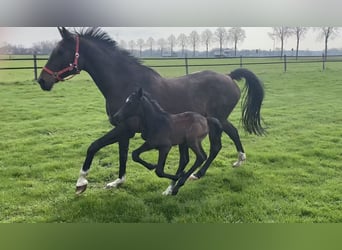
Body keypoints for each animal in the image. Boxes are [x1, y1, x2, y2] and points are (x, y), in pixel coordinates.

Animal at [38, 27, 268, 193]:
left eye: (60, 52)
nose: (42, 81)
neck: (125, 83)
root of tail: (229, 76)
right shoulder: (124, 129)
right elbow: (122, 156)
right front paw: (117, 182)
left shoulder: (124, 128)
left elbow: (93, 147)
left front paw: (81, 183)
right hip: (218, 121)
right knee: (232, 134)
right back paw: (237, 161)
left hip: (215, 121)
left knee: (216, 146)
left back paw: (200, 174)